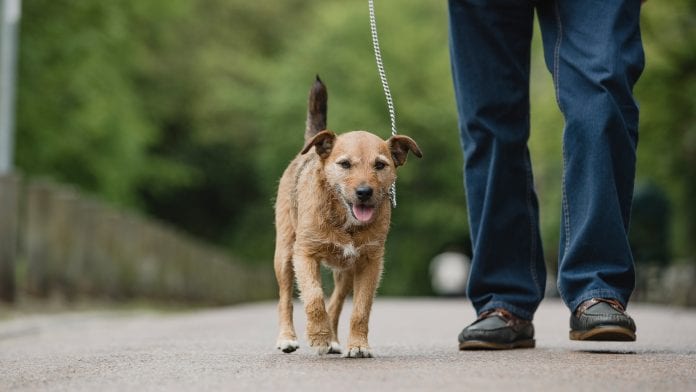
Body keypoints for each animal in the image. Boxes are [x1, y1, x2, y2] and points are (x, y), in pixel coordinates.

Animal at [274, 76, 422, 358]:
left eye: (380, 165)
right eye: (344, 164)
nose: (364, 192)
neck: (345, 221)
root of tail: (310, 151)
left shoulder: (370, 263)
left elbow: (360, 309)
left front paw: (358, 344)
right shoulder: (304, 255)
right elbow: (314, 298)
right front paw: (318, 337)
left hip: (346, 272)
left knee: (337, 302)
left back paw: (333, 339)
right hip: (285, 254)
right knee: (286, 297)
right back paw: (287, 338)